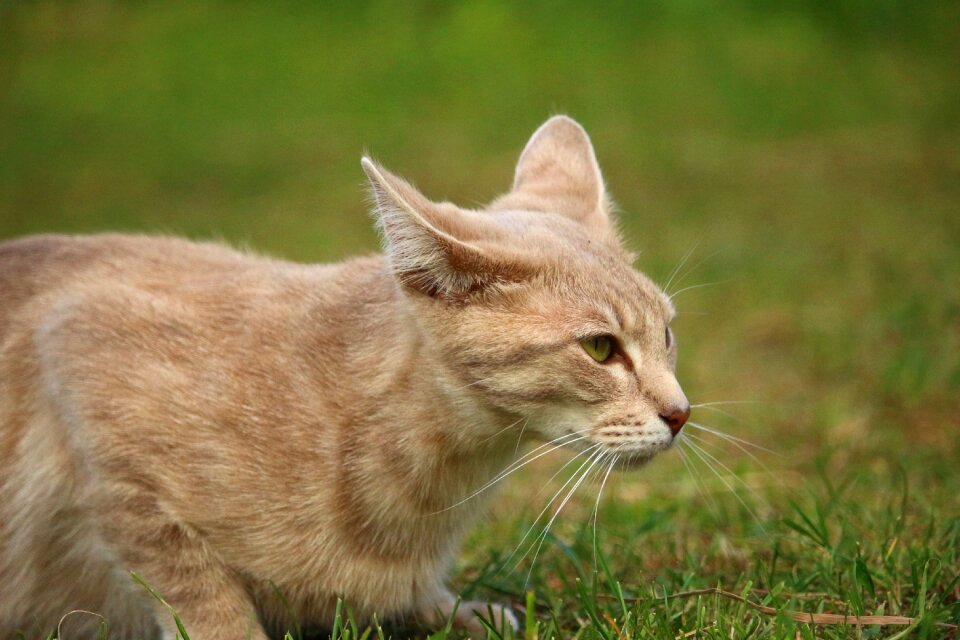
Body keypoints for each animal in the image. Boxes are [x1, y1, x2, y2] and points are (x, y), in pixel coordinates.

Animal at [0, 116, 688, 640]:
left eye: (667, 334)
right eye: (600, 348)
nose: (681, 414)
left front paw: (446, 608)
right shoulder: (79, 349)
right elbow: (196, 586)